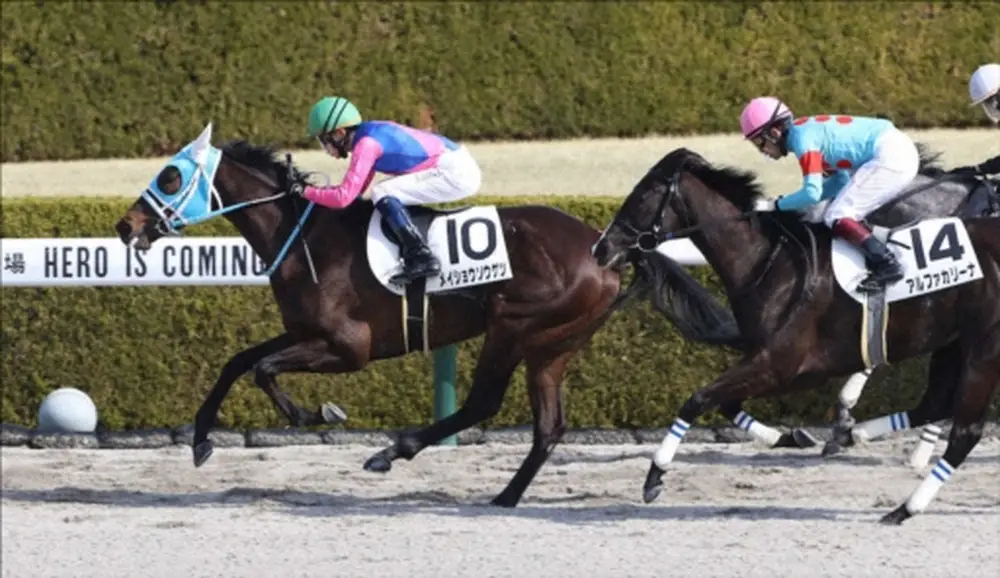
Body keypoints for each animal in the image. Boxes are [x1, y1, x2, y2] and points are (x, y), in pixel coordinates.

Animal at [592, 147, 1000, 520]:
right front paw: (791, 436)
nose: (601, 248)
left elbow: (698, 399)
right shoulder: (768, 362)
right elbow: (725, 404)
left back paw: (904, 508)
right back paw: (851, 438)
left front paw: (654, 476)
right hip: (952, 343)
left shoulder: (781, 365)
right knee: (934, 405)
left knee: (965, 432)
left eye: (642, 196)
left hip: (983, 350)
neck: (771, 263)